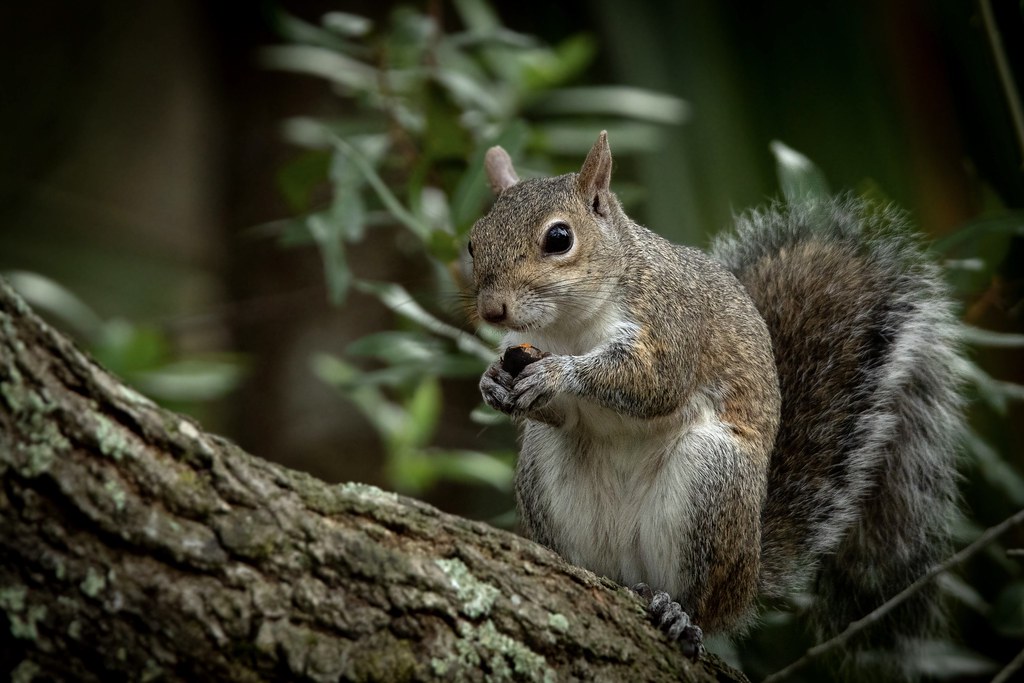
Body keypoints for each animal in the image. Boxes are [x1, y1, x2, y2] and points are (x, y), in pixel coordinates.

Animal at [469, 131, 964, 674]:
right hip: (547, 474)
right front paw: (493, 382)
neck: (570, 324)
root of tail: (748, 580)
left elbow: (653, 384)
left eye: (559, 238)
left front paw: (560, 373)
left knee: (702, 600)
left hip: (712, 479)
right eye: (473, 241)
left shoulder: (672, 324)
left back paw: (680, 612)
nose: (492, 310)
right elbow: (553, 411)